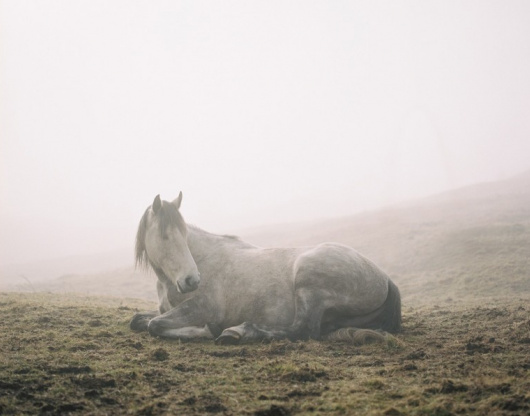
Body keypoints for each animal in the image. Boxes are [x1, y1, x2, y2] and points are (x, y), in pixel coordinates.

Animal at [129, 193, 400, 342]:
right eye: (164, 236)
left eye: (184, 235)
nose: (192, 280)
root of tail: (385, 278)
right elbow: (138, 320)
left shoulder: (201, 308)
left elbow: (155, 325)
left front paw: (207, 330)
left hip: (308, 281)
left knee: (302, 329)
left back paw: (238, 332)